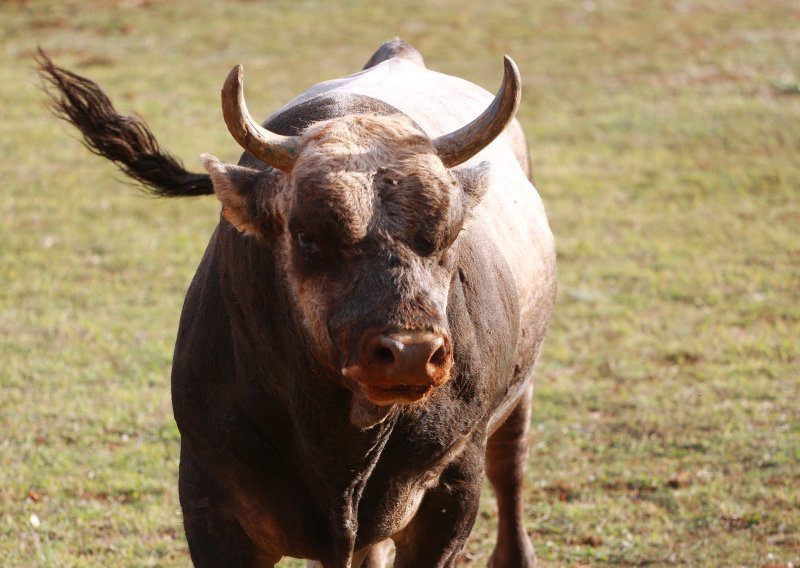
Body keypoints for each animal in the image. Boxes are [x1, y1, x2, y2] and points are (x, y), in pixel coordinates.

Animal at [39, 40, 556, 568]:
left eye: (449, 234)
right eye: (306, 236)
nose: (410, 353)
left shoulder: (452, 491)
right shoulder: (211, 502)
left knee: (510, 462)